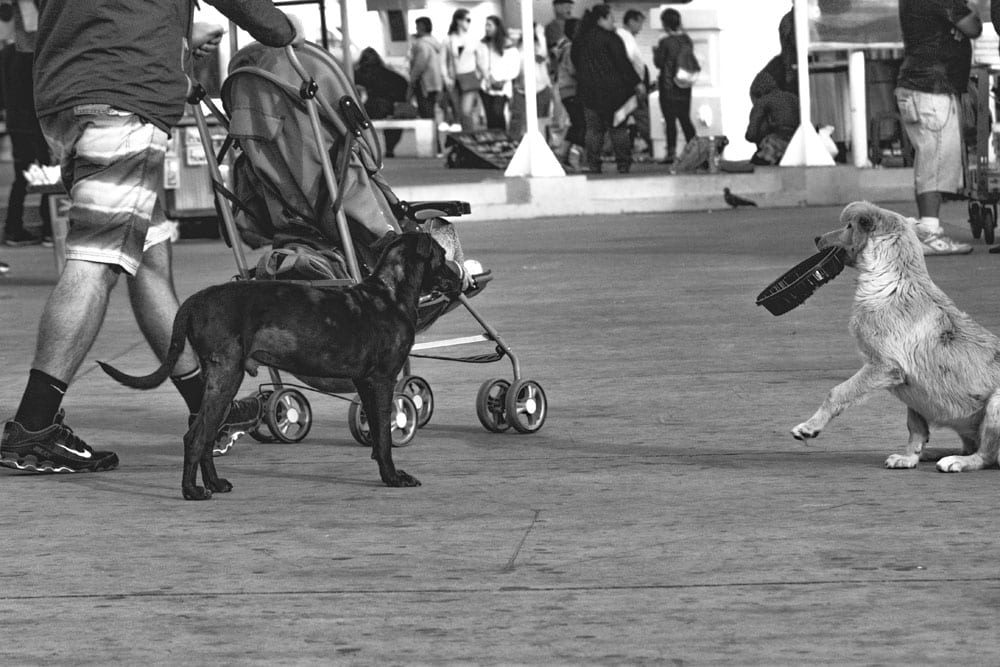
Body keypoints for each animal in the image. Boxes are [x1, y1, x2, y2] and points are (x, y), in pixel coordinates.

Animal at [99, 232, 462, 498]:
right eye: (441, 256)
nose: (459, 278)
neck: (390, 294)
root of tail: (195, 300)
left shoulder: (365, 382)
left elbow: (375, 435)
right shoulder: (382, 380)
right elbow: (385, 438)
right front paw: (393, 477)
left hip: (224, 378)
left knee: (205, 436)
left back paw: (215, 484)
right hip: (226, 374)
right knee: (195, 437)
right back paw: (192, 491)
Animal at [792, 201, 996, 472]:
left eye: (849, 226)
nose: (816, 238)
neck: (893, 282)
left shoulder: (884, 365)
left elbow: (838, 392)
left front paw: (809, 427)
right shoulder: (911, 387)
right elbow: (916, 427)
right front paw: (909, 457)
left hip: (995, 404)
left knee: (986, 455)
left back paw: (957, 461)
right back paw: (936, 453)